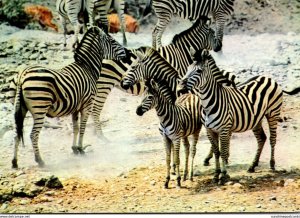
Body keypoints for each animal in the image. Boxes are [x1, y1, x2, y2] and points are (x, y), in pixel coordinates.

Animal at [11, 26, 126, 169]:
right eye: (112, 41)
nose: (126, 53)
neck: (87, 68)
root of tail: (22, 75)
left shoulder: (75, 107)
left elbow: (75, 129)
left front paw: (75, 149)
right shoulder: (87, 104)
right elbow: (82, 128)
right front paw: (81, 149)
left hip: (20, 108)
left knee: (16, 134)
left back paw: (14, 162)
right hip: (39, 108)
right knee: (33, 135)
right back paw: (40, 161)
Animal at [180, 49, 300, 184]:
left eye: (199, 71)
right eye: (187, 69)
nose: (180, 85)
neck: (208, 104)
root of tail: (269, 78)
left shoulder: (224, 129)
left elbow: (223, 152)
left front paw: (224, 175)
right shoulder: (209, 130)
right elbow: (216, 152)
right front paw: (216, 175)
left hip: (273, 113)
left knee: (272, 139)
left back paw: (272, 164)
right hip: (256, 119)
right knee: (261, 139)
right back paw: (253, 165)